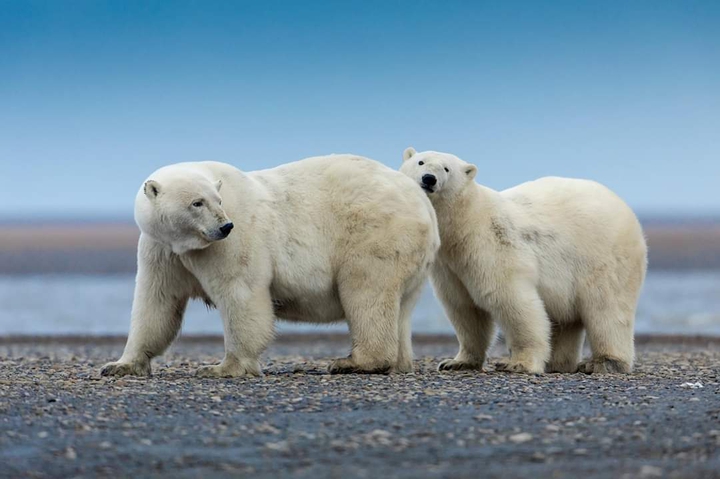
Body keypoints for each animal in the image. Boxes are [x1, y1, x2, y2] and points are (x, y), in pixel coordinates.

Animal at [101, 155, 439, 378]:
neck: (188, 243)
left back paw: (354, 362)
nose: (225, 226)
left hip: (374, 233)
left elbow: (241, 294)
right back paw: (399, 362)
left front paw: (223, 367)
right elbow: (156, 303)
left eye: (218, 200)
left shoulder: (232, 242)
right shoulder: (161, 248)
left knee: (365, 290)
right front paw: (120, 365)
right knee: (401, 306)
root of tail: (422, 204)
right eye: (197, 202)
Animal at [400, 147, 647, 374]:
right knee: (565, 318)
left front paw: (518, 363)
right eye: (420, 161)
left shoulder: (493, 247)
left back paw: (604, 362)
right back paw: (558, 363)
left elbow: (512, 301)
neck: (464, 224)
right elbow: (465, 309)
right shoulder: (450, 267)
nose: (429, 179)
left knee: (606, 309)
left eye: (446, 168)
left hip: (605, 258)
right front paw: (456, 362)